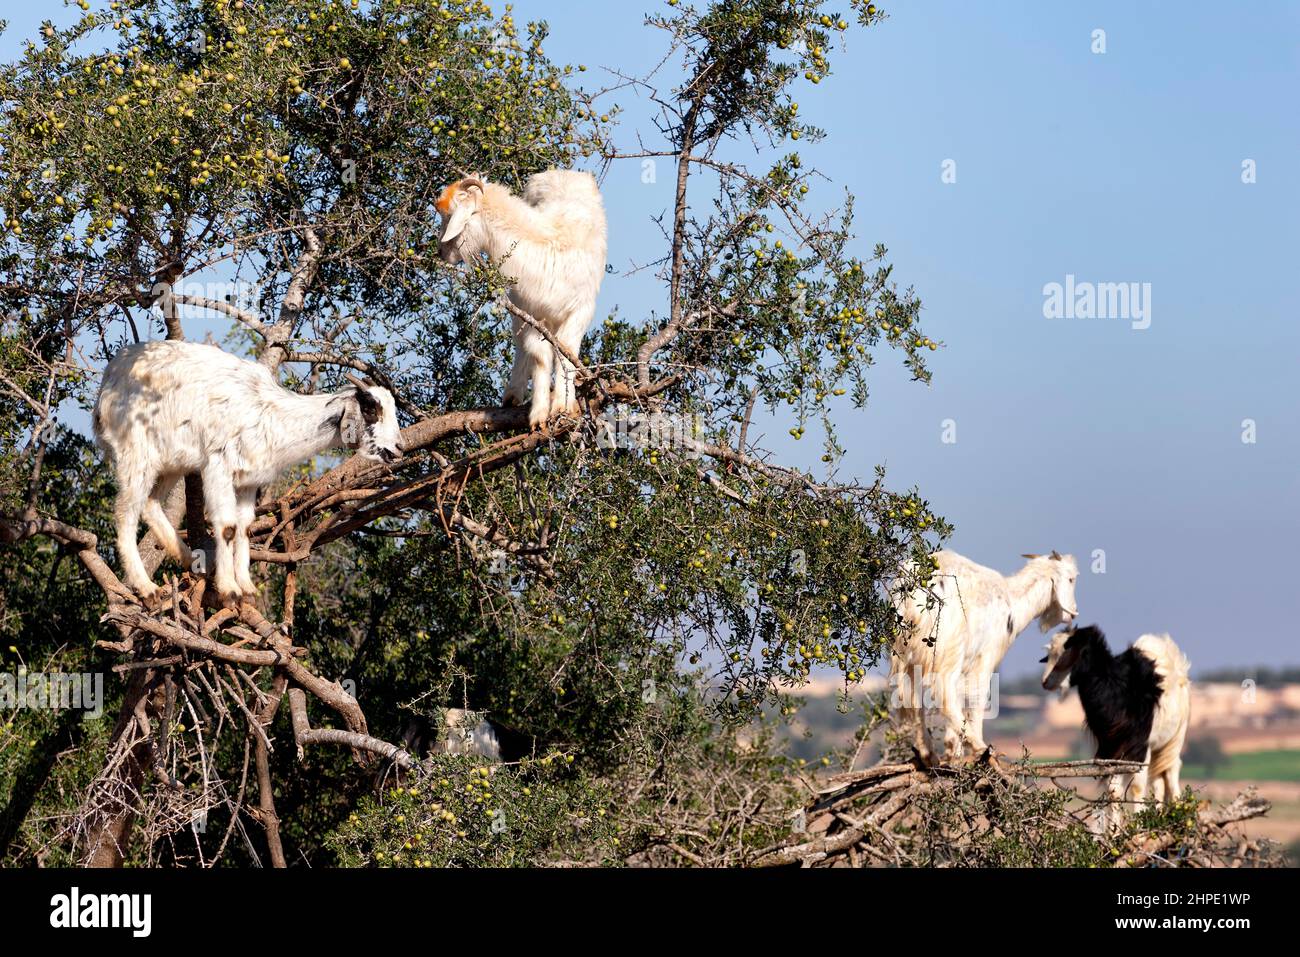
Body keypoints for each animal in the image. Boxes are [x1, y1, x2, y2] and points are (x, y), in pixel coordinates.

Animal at [94, 340, 400, 600]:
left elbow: (244, 527)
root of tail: (109, 380)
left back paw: (191, 560)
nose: (397, 448)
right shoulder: (218, 463)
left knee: (150, 502)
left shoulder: (249, 478)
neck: (271, 413)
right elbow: (227, 526)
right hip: (135, 452)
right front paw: (229, 589)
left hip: (170, 461)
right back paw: (146, 587)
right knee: (126, 511)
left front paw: (247, 587)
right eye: (370, 409)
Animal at [431, 169, 603, 429]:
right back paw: (513, 395)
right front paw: (539, 415)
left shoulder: (581, 311)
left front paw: (563, 406)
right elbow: (540, 356)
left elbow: (566, 355)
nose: (441, 252)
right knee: (521, 347)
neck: (549, 243)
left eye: (449, 216)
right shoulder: (529, 312)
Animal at [889, 553, 1081, 764]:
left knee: (911, 695)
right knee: (943, 690)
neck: (1011, 601)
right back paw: (979, 747)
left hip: (906, 650)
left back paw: (928, 753)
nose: (1073, 612)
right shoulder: (986, 654)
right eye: (1071, 579)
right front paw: (967, 751)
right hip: (948, 645)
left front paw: (953, 752)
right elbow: (977, 695)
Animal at [1040, 624, 1190, 826]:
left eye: (1070, 650)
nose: (1045, 682)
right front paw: (1115, 830)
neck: (1118, 691)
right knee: (1158, 780)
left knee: (1171, 774)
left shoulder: (1139, 747)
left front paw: (1138, 827)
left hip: (1174, 740)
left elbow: (1136, 787)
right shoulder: (1109, 749)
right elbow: (1113, 790)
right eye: (1049, 654)